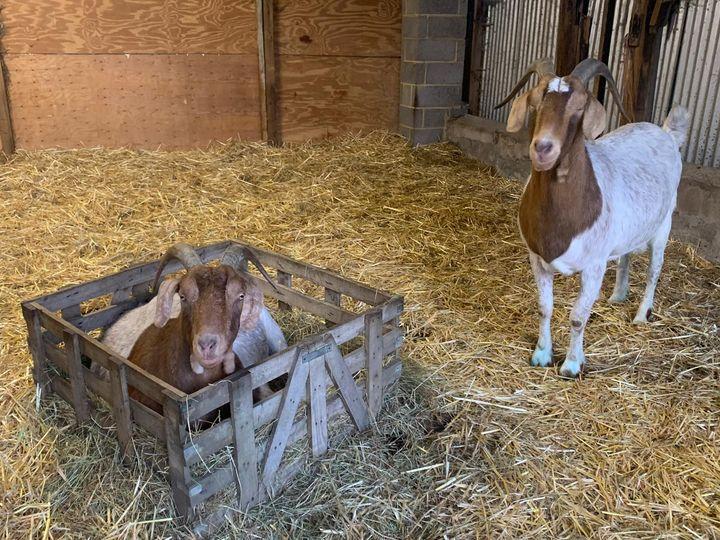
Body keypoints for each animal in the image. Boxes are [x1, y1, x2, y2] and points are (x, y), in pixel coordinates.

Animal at [497, 57, 688, 377]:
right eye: (535, 102)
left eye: (579, 106)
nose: (543, 148)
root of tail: (666, 133)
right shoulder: (537, 259)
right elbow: (544, 307)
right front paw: (542, 354)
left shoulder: (594, 266)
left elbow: (577, 316)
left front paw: (572, 365)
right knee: (626, 255)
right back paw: (618, 295)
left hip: (663, 224)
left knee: (654, 270)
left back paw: (641, 314)